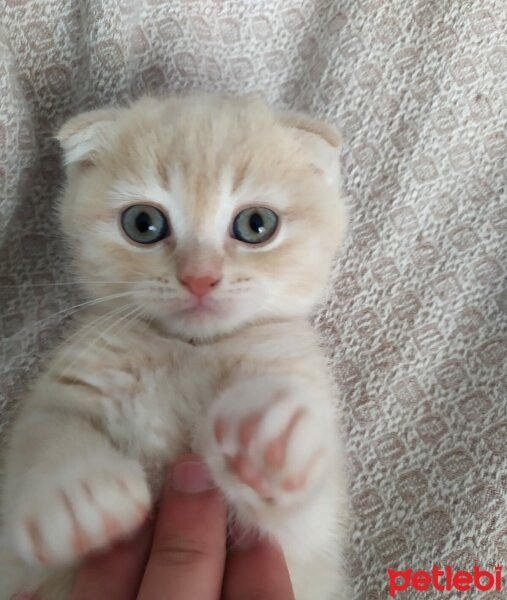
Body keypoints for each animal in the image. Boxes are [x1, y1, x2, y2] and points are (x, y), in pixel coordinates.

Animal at [0, 94, 350, 600]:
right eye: (143, 223)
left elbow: (303, 520)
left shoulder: (304, 549)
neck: (191, 349)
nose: (199, 277)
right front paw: (74, 489)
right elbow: (45, 436)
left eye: (256, 224)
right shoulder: (69, 388)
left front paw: (267, 437)